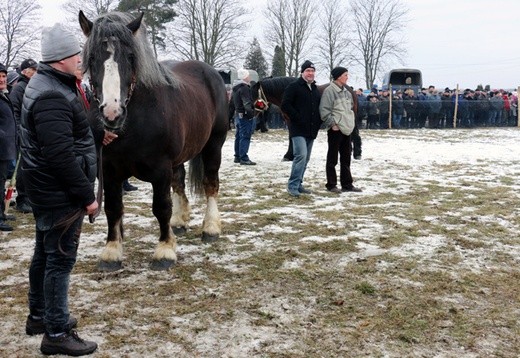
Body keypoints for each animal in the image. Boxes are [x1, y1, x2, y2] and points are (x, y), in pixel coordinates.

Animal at [79, 9, 230, 270]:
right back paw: (179, 222)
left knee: (210, 183)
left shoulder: (160, 169)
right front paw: (112, 252)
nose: (112, 114)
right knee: (179, 181)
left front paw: (164, 251)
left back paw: (210, 228)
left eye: (131, 56)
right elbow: (113, 208)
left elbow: (161, 207)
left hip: (214, 145)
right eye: (92, 58)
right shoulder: (108, 170)